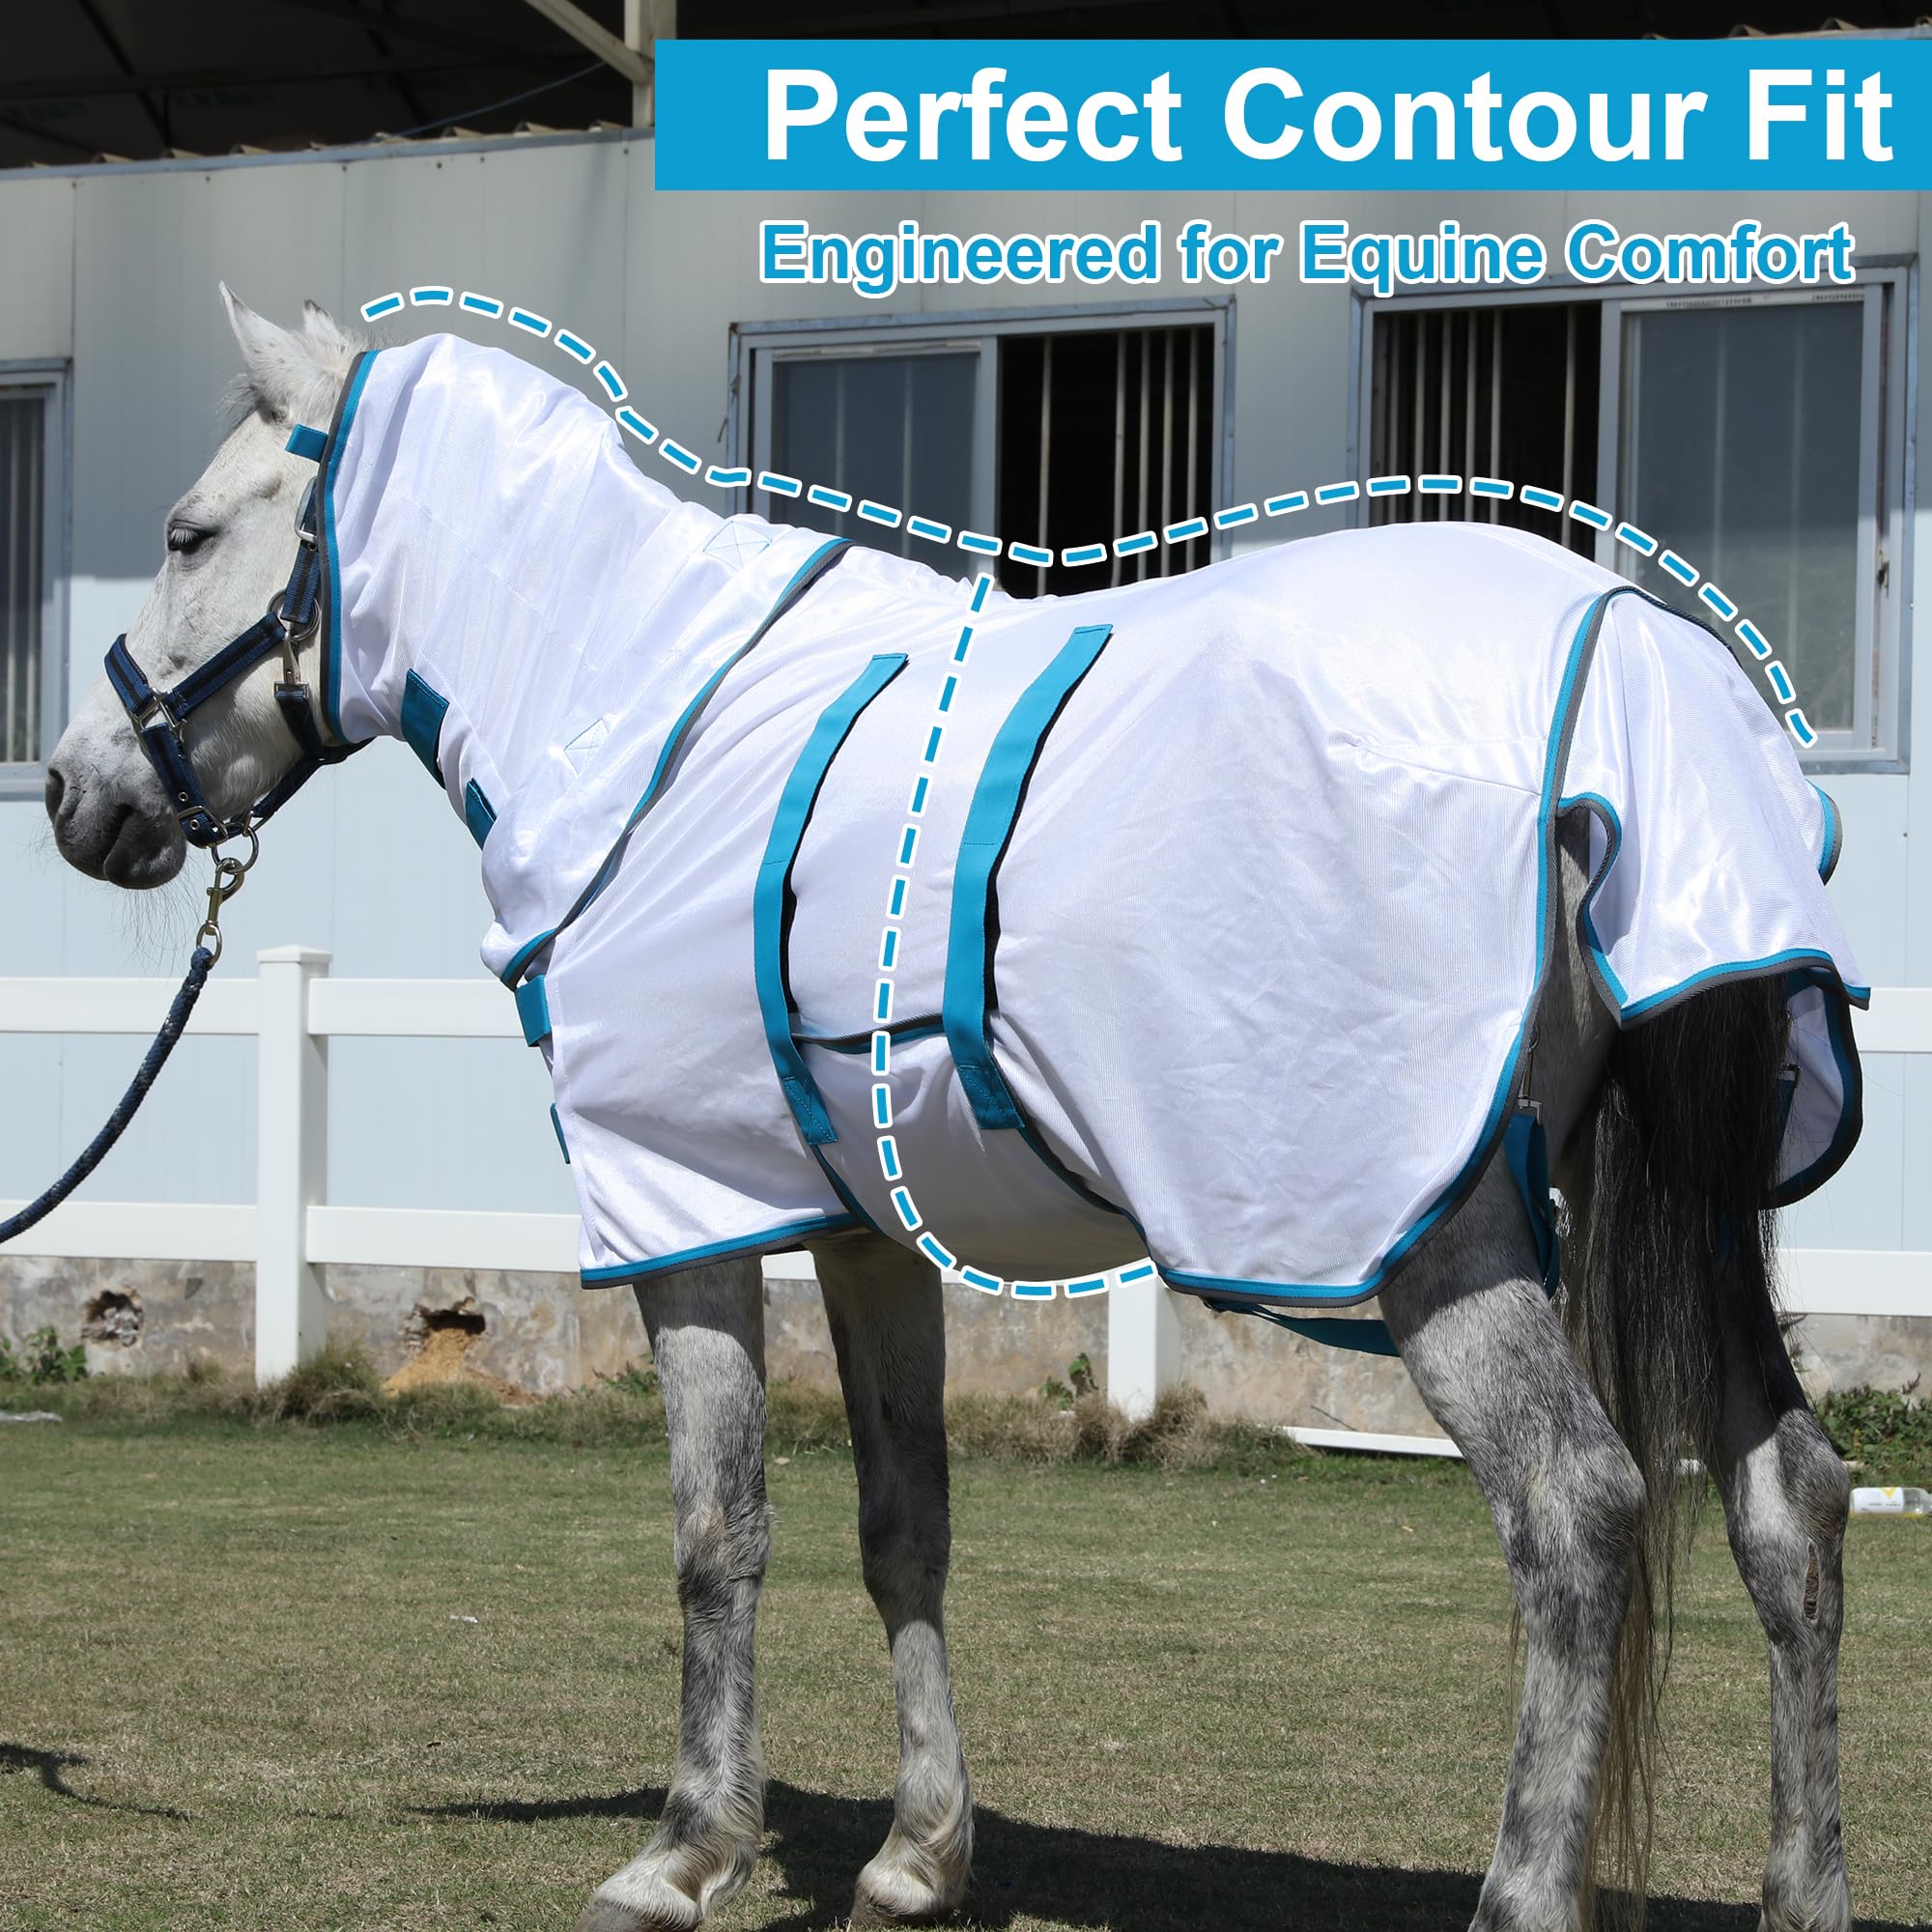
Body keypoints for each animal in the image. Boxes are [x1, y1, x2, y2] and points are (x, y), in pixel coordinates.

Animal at [41, 290, 1865, 1932]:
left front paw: (683, 1852)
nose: (72, 794)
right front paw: (918, 1857)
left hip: (1442, 1234)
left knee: (1578, 1507)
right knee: (1789, 1501)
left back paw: (1522, 1891)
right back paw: (1808, 1892)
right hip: (1696, 1215)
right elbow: (900, 1525)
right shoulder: (866, 1235)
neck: (649, 723)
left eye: (189, 532)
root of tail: (1641, 676)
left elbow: (718, 1530)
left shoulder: (684, 1209)